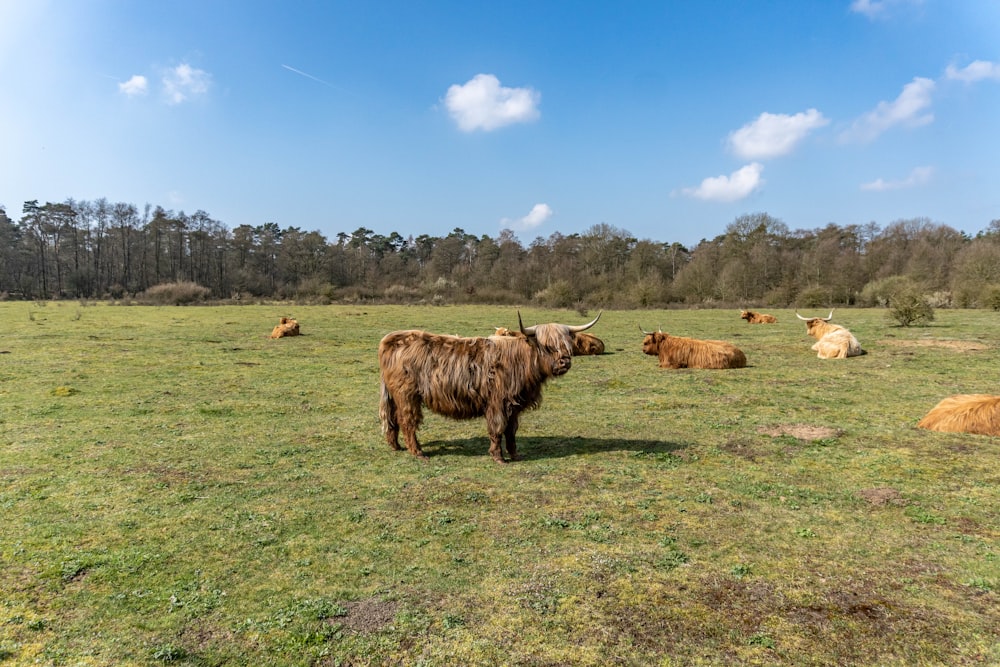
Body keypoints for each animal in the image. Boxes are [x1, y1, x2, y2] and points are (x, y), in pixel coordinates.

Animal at [378, 310, 600, 462]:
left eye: (566, 344)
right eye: (547, 346)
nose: (564, 362)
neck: (522, 361)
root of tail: (390, 339)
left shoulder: (514, 405)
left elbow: (511, 431)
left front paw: (515, 454)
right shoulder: (498, 402)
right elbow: (497, 428)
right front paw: (498, 457)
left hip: (395, 396)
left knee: (393, 419)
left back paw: (395, 446)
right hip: (407, 396)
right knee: (407, 421)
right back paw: (418, 452)